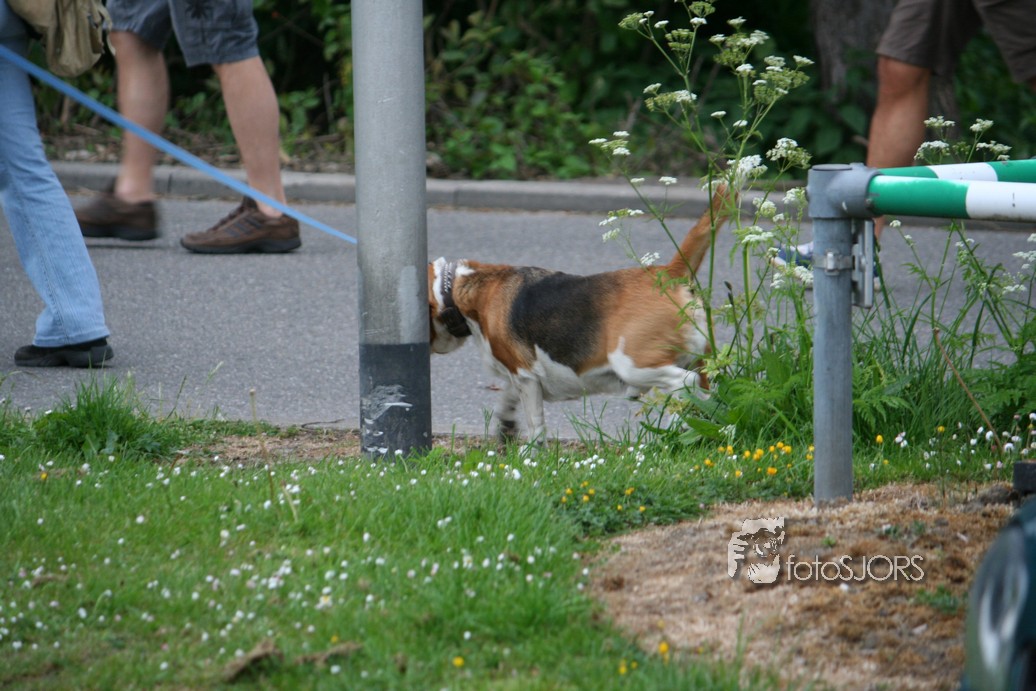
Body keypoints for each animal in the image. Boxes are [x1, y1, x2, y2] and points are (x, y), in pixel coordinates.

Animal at [428, 187, 730, 442]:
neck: (461, 289)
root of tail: (668, 272)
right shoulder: (519, 376)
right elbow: (508, 399)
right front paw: (506, 428)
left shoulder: (525, 375)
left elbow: (535, 423)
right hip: (700, 362)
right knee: (705, 397)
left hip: (631, 364)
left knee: (685, 385)